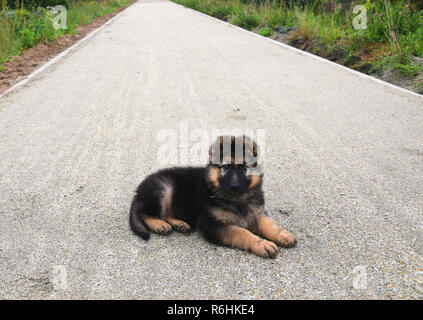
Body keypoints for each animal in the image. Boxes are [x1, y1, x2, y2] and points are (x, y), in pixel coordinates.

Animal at [130, 135, 298, 258]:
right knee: (145, 214)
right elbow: (242, 232)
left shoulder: (256, 213)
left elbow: (269, 224)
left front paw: (282, 234)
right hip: (164, 188)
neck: (236, 200)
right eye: (226, 167)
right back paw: (160, 225)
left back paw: (179, 224)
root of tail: (138, 192)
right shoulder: (214, 225)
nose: (235, 187)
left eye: (245, 168)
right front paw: (261, 243)